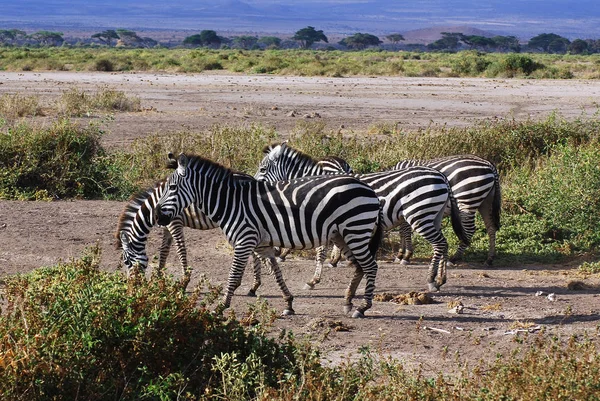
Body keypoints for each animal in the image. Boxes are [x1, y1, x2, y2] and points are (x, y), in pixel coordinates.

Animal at [152, 152, 382, 318]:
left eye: (172, 187)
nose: (157, 215)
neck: (231, 203)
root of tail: (367, 187)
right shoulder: (262, 245)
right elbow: (276, 273)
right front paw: (288, 303)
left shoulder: (244, 240)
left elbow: (233, 276)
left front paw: (221, 307)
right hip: (342, 235)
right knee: (359, 267)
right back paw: (348, 301)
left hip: (355, 230)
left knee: (370, 266)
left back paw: (362, 307)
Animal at [253, 143, 468, 290]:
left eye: (262, 169)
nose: (253, 187)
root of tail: (441, 176)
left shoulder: (320, 221)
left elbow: (319, 251)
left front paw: (313, 280)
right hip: (433, 216)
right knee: (443, 244)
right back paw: (440, 279)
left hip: (420, 215)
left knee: (439, 244)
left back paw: (431, 279)